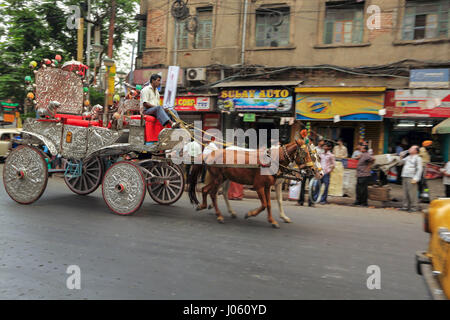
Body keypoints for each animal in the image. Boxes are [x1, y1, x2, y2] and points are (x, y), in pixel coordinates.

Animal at [188, 139, 322, 229]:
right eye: (307, 154)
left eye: (316, 156)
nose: (317, 172)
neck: (274, 160)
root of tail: (209, 154)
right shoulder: (259, 186)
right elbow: (264, 205)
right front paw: (250, 214)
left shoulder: (269, 186)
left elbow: (270, 204)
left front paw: (274, 220)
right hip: (218, 178)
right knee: (212, 193)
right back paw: (219, 214)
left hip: (223, 178)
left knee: (208, 191)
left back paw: (205, 206)